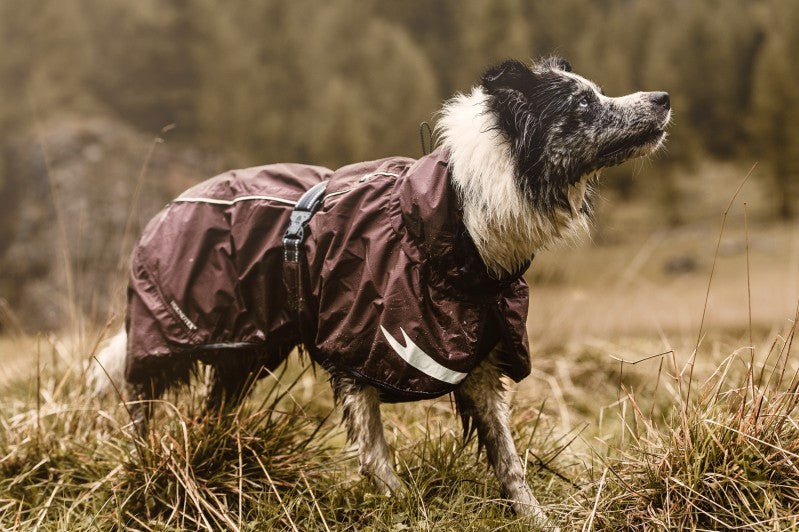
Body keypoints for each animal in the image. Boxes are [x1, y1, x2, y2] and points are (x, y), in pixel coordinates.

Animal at [90, 57, 672, 524]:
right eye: (582, 104)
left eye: (598, 91)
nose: (664, 98)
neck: (458, 226)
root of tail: (165, 210)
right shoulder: (357, 353)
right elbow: (376, 458)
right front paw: (408, 510)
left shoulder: (480, 359)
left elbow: (509, 459)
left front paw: (536, 517)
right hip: (173, 335)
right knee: (137, 394)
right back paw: (145, 458)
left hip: (245, 350)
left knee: (211, 409)